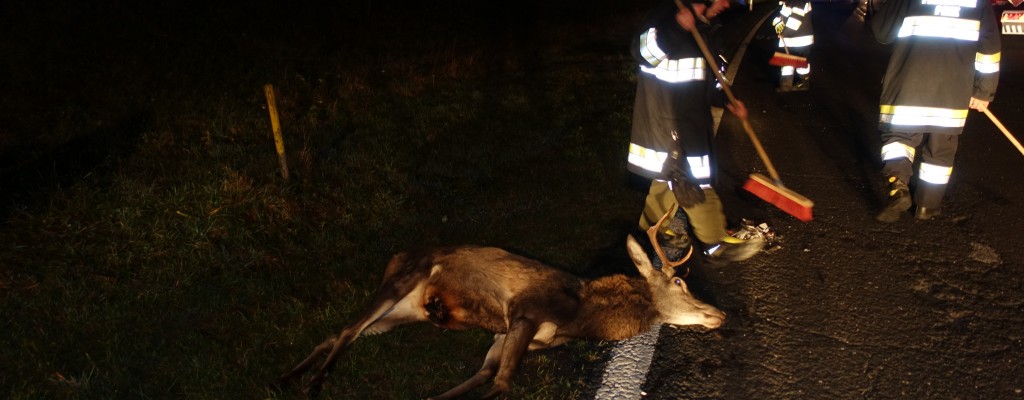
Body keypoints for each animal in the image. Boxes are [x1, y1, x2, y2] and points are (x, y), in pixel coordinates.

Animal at [272, 236, 720, 398]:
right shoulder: (524, 313)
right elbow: (503, 382)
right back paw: (312, 384)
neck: (580, 316)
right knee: (348, 329)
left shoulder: (503, 336)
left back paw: (288, 376)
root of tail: (394, 258)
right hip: (403, 281)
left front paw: (432, 398)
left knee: (336, 332)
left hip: (403, 313)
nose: (718, 313)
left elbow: (484, 374)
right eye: (679, 281)